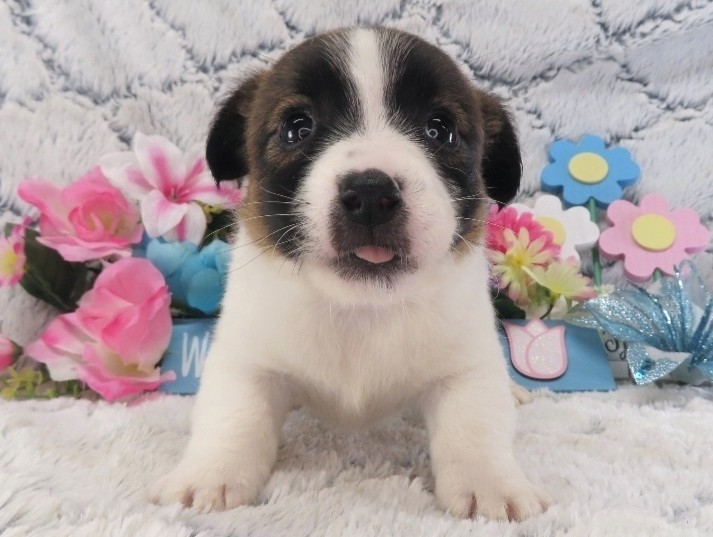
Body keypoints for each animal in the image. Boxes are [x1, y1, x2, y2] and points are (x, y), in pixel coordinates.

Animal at [152, 26, 550, 522]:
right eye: (297, 127)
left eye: (440, 129)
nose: (371, 194)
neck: (360, 308)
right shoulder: (246, 357)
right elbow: (233, 416)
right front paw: (210, 475)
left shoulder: (467, 364)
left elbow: (475, 424)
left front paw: (491, 484)